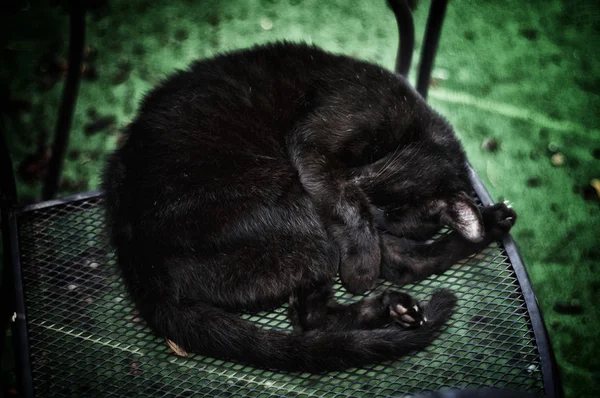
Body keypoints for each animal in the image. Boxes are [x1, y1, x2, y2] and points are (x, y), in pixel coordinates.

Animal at [102, 42, 516, 374]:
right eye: (367, 185)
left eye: (390, 213)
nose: (377, 215)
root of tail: (136, 264)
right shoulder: (315, 143)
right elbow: (348, 207)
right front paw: (361, 271)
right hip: (300, 218)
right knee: (322, 306)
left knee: (328, 306)